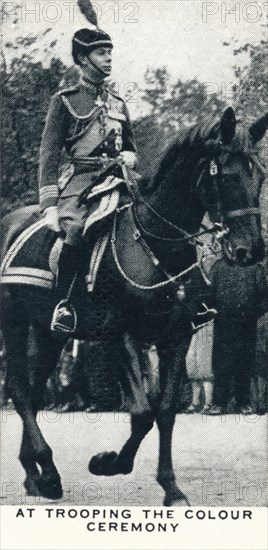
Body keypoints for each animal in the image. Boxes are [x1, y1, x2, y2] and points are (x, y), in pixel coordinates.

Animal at [1, 105, 266, 506]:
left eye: (260, 176)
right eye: (228, 175)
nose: (250, 251)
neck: (156, 242)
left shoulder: (176, 339)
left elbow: (166, 412)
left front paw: (171, 488)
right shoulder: (120, 334)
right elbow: (142, 413)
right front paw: (108, 463)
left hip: (50, 332)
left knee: (31, 392)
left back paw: (37, 474)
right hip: (14, 323)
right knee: (18, 389)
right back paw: (45, 471)